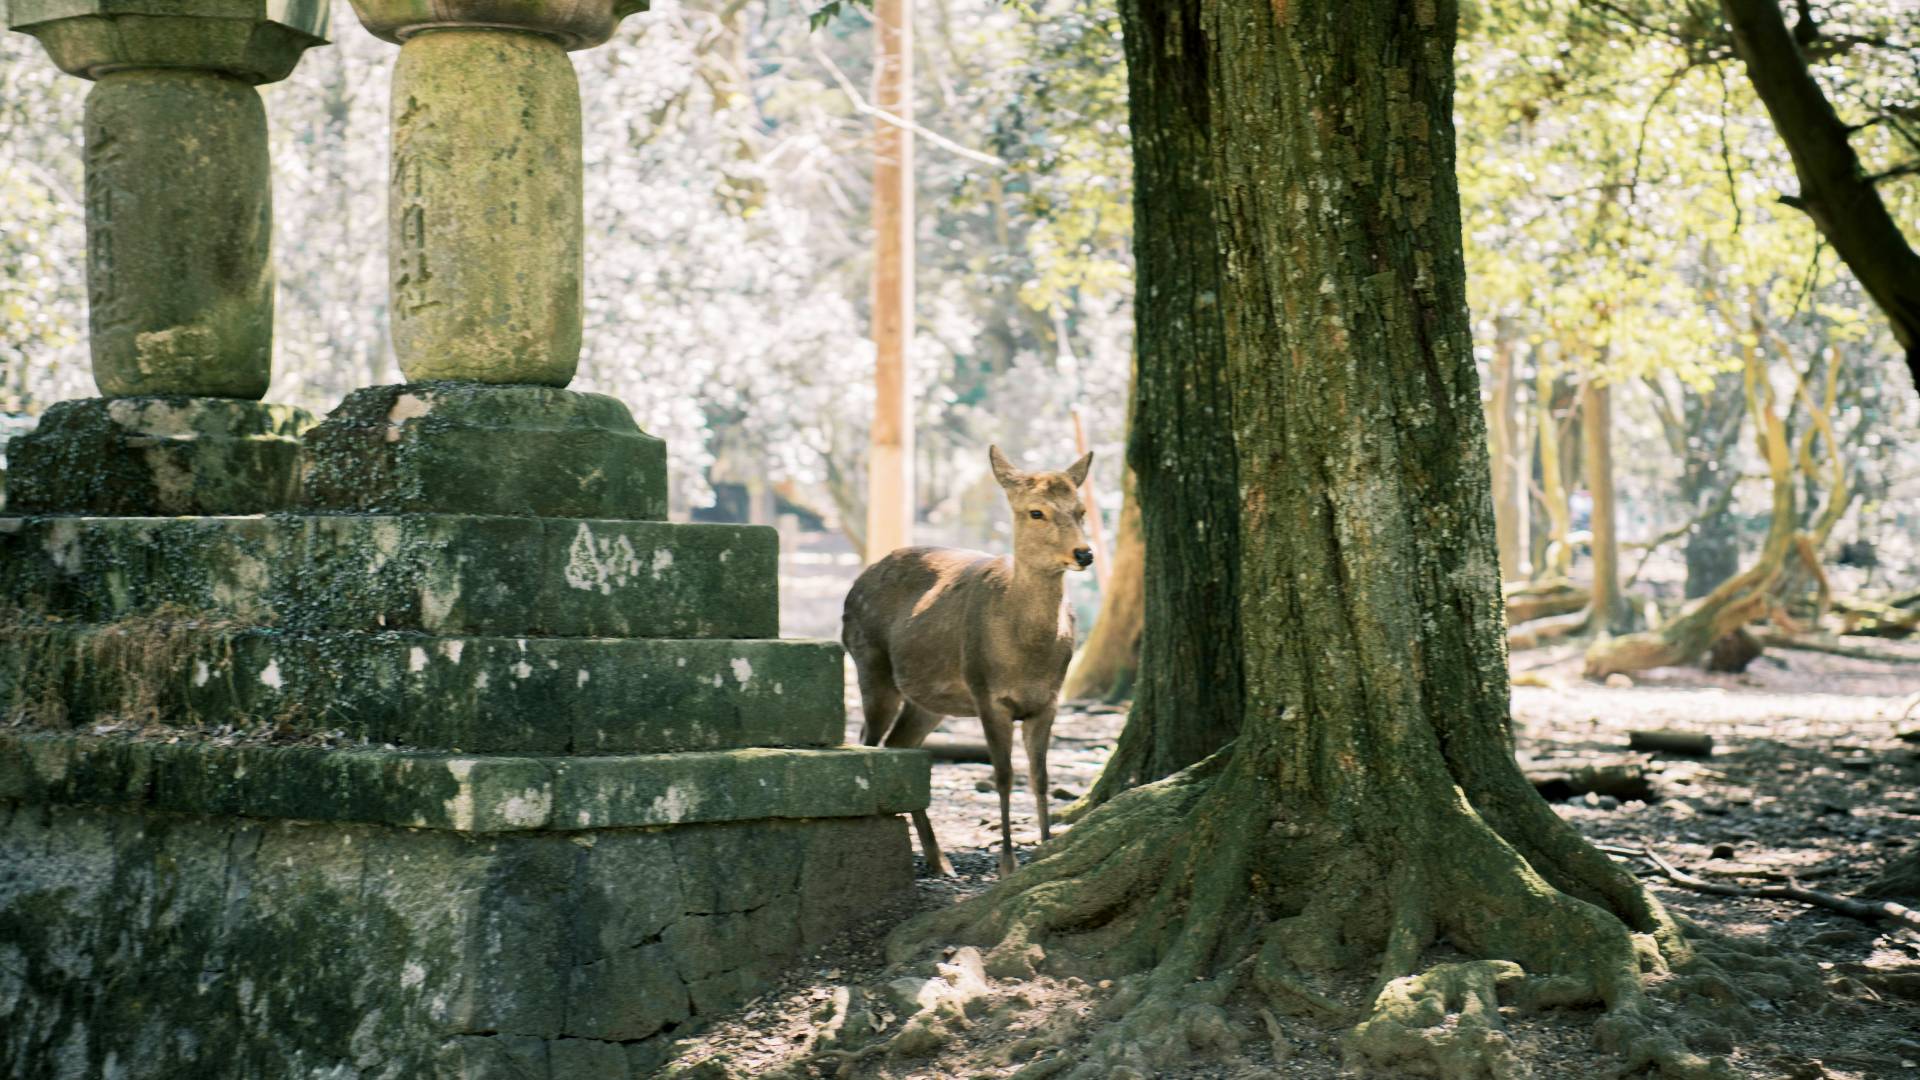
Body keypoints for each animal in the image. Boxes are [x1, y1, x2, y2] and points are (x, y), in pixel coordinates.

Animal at [844, 445, 1098, 876]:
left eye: (1080, 510)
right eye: (1036, 512)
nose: (1084, 553)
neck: (1026, 654)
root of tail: (856, 583)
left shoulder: (1049, 701)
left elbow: (1040, 777)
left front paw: (1046, 848)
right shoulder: (986, 693)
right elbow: (1003, 775)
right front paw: (1007, 864)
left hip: (928, 701)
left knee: (902, 746)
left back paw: (940, 859)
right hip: (869, 663)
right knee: (869, 741)